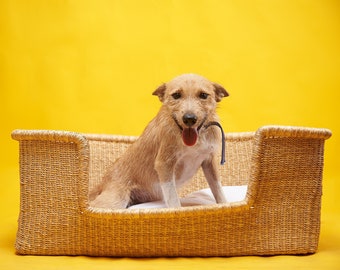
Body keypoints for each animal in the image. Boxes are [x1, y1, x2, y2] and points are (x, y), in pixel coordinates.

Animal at [89, 74, 230, 209]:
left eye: (203, 95)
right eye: (176, 95)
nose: (189, 119)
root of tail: (101, 183)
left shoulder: (209, 161)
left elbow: (218, 189)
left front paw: (225, 205)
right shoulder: (164, 164)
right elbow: (173, 198)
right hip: (115, 201)